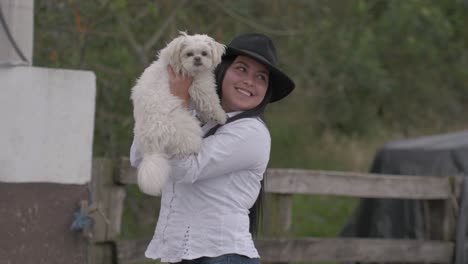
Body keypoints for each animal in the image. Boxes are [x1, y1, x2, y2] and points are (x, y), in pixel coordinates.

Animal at [132, 32, 227, 195]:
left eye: (204, 53)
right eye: (189, 54)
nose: (197, 59)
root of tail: (152, 144)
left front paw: (207, 116)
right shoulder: (201, 86)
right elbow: (211, 102)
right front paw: (221, 116)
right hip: (188, 129)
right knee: (188, 146)